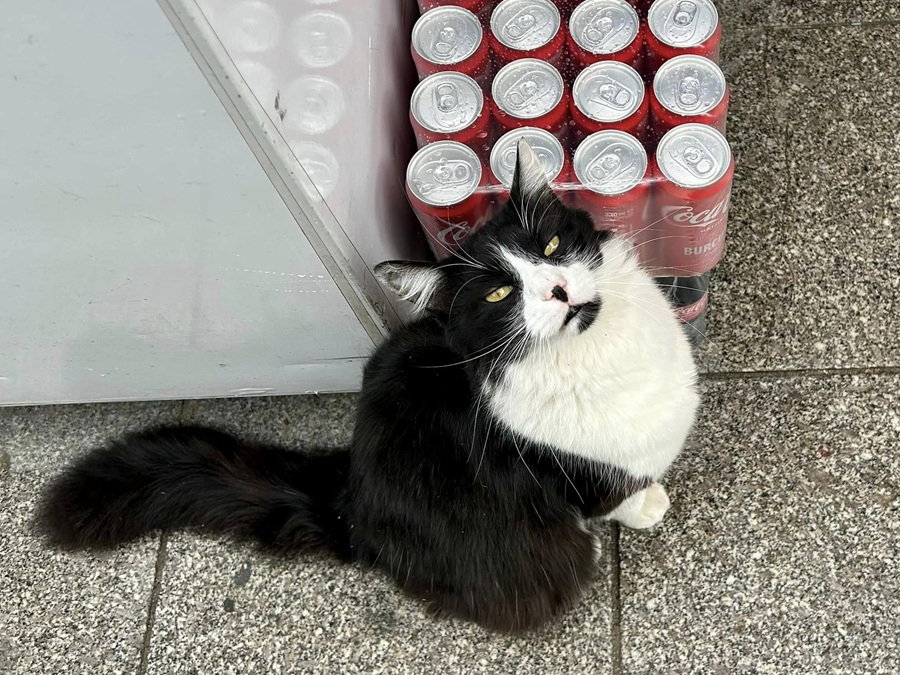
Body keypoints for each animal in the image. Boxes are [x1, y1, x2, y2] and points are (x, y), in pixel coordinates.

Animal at [34, 139, 699, 633]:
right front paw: (648, 504)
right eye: (498, 295)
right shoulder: (572, 474)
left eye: (553, 245)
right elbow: (615, 495)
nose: (557, 290)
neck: (596, 354)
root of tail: (348, 500)